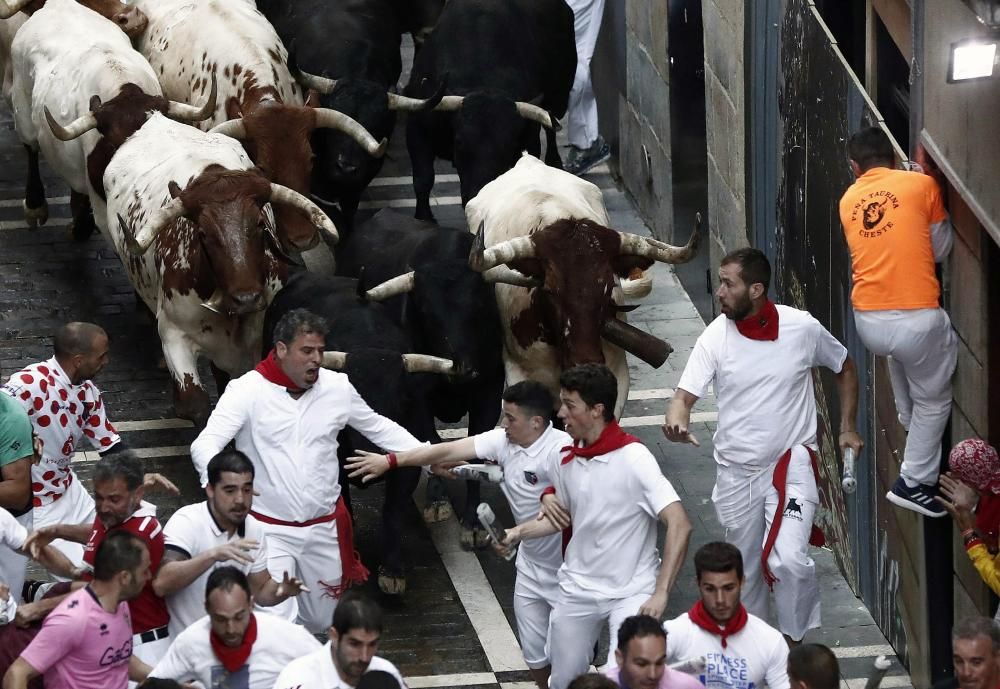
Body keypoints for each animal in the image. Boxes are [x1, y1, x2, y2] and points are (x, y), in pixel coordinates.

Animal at [464, 153, 700, 414]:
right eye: (550, 290)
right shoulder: (520, 373)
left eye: (608, 287)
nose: (586, 360)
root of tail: (527, 160)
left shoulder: (618, 374)